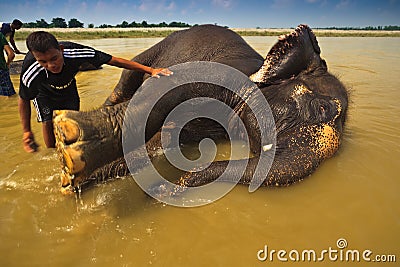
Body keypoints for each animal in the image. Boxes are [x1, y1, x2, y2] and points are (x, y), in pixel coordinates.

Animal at [52, 24, 346, 195]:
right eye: (321, 108)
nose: (167, 189)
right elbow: (160, 95)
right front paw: (68, 158)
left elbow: (160, 144)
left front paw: (71, 181)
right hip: (150, 53)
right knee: (125, 82)